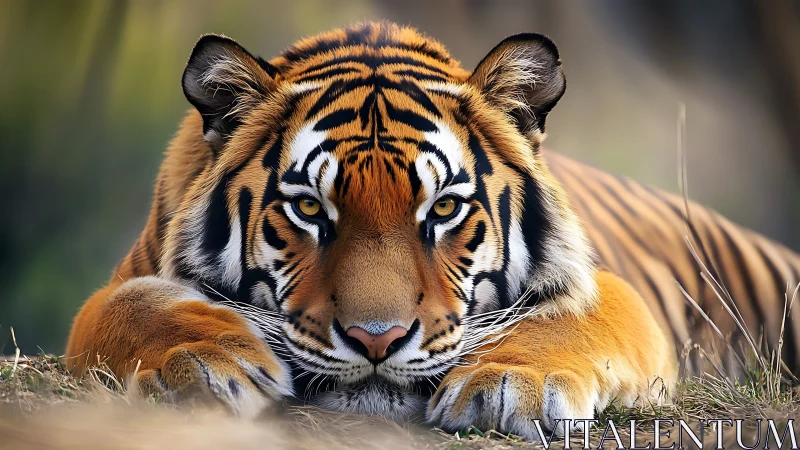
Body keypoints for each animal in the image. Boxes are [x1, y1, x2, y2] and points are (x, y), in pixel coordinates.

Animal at [65, 21, 799, 441]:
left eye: (442, 210)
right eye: (311, 210)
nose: (376, 339)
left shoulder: (609, 289)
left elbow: (569, 319)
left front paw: (509, 383)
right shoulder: (124, 283)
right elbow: (127, 306)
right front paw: (205, 364)